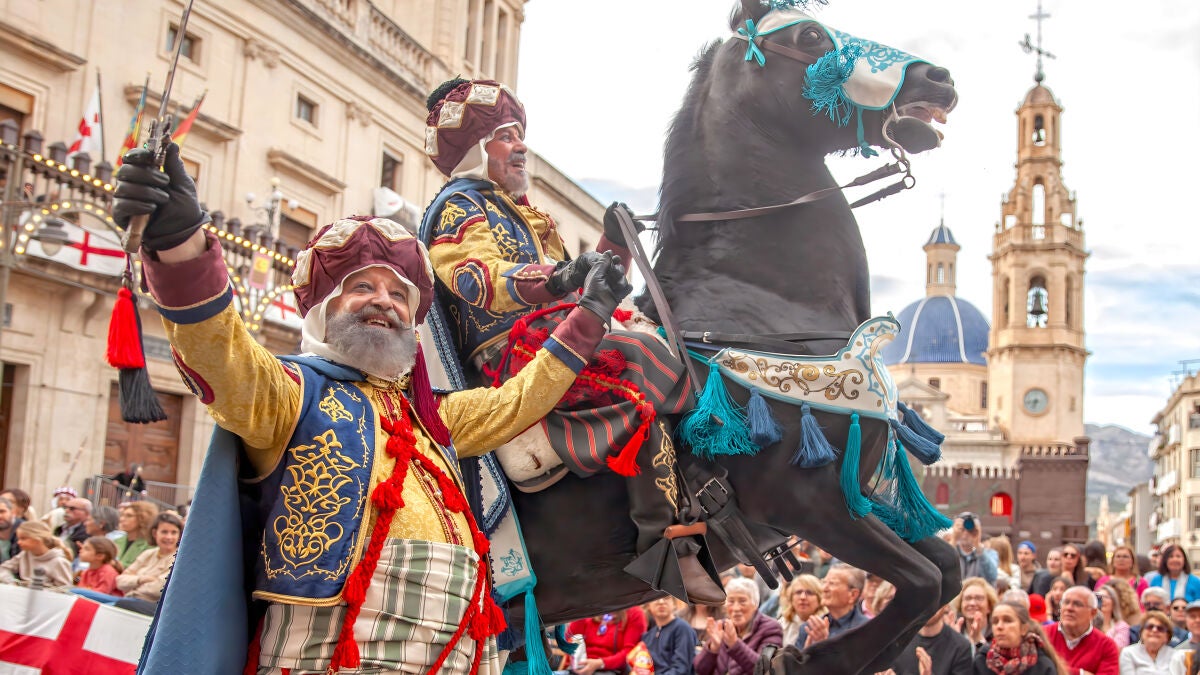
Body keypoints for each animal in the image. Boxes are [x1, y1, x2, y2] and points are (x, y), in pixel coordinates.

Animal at [509, 2, 962, 673]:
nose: (939, 78)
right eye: (810, 35)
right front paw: (806, 659)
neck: (767, 304)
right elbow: (922, 582)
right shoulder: (805, 497)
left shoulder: (853, 495)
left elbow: (946, 570)